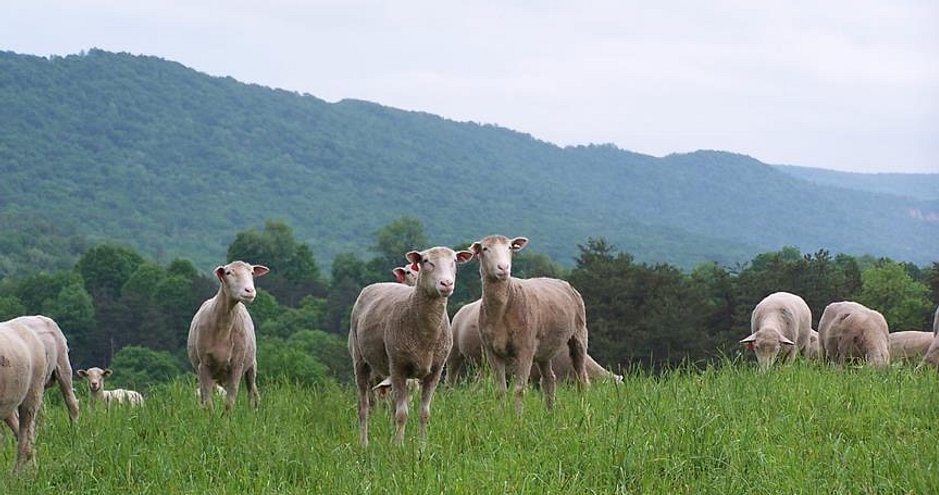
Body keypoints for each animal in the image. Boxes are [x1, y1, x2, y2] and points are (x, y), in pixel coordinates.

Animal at [187, 260, 269, 412]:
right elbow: (208, 404)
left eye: (252, 273)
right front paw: (211, 417)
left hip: (251, 365)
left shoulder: (237, 365)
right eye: (228, 273)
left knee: (252, 393)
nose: (249, 291)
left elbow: (229, 403)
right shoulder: (204, 366)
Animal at [348, 246, 473, 446]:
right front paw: (398, 447)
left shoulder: (435, 371)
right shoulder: (398, 367)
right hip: (360, 361)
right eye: (426, 260)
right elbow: (401, 414)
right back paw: (364, 443)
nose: (446, 283)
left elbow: (424, 413)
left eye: (454, 260)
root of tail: (377, 284)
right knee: (364, 407)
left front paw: (422, 447)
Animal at [471, 235, 589, 413]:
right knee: (549, 379)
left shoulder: (525, 347)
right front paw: (500, 415)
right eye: (485, 249)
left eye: (510, 248)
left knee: (582, 377)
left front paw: (518, 417)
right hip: (545, 348)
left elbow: (519, 389)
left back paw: (582, 408)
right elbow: (500, 390)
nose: (503, 268)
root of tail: (561, 281)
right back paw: (550, 413)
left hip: (579, 335)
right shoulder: (492, 351)